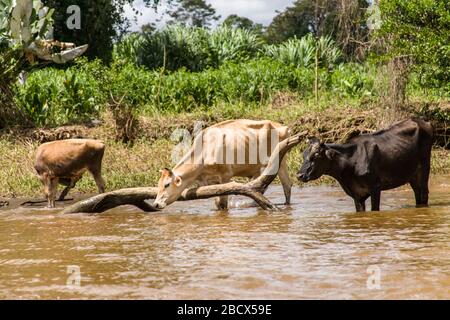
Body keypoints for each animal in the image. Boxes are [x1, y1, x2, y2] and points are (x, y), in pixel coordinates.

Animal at [153, 120, 290, 210]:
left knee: (286, 185)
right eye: (158, 185)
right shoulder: (208, 182)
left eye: (167, 184)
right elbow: (217, 202)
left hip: (279, 161)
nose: (156, 204)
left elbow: (223, 204)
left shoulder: (226, 175)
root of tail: (282, 126)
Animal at [298, 119, 434, 211]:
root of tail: (424, 122)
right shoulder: (356, 195)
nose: (299, 175)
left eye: (316, 155)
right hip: (412, 175)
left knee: (424, 194)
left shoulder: (375, 187)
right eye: (304, 155)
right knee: (418, 194)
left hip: (424, 168)